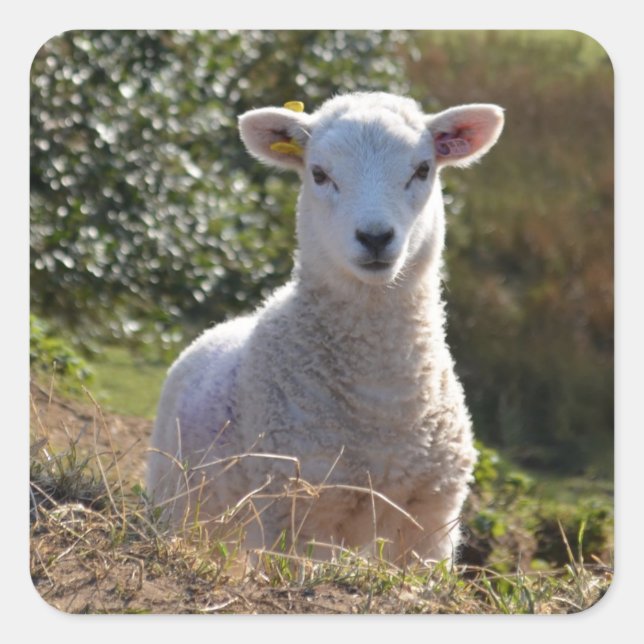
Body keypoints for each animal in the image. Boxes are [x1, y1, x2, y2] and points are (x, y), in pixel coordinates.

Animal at [147, 91, 504, 565]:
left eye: (423, 169)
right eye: (319, 173)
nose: (375, 237)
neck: (381, 399)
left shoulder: (431, 516)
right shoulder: (293, 512)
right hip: (181, 500)